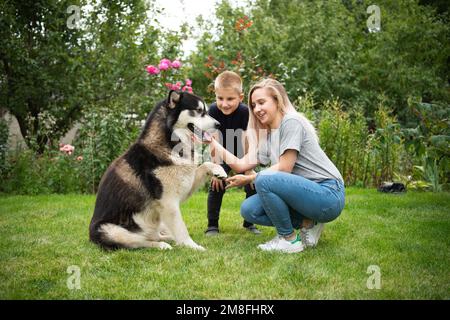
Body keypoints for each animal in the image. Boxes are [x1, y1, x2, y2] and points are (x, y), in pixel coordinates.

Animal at [89, 90, 227, 250]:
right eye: (198, 111)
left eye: (206, 111)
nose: (218, 124)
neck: (170, 142)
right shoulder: (168, 201)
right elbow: (181, 228)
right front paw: (192, 246)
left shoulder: (183, 187)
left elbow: (205, 165)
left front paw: (218, 171)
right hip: (110, 230)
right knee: (140, 242)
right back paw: (161, 245)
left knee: (156, 235)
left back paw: (167, 239)